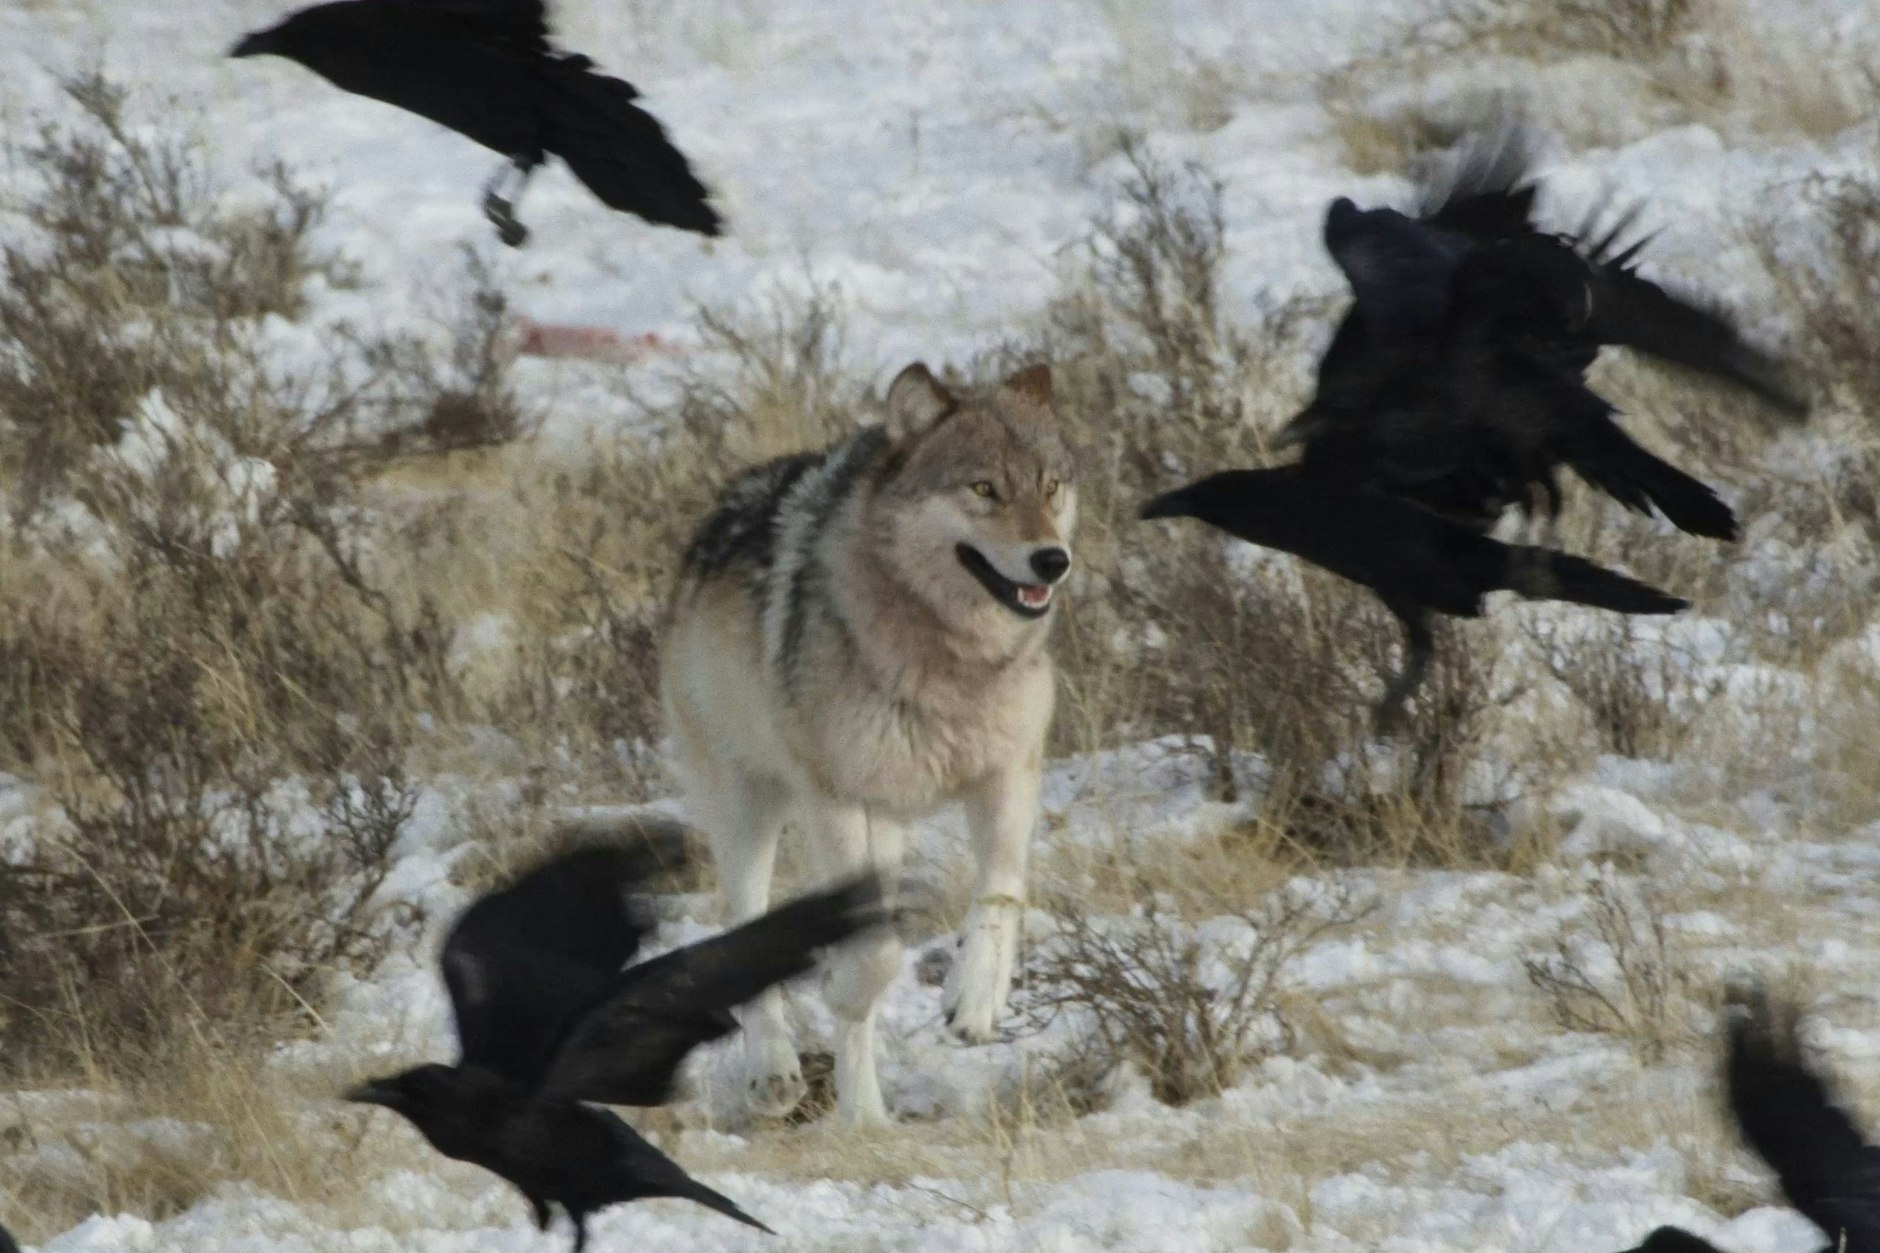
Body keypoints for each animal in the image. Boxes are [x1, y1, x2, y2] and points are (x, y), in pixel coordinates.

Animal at [660, 362, 1077, 1127]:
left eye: (1050, 485)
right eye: (984, 489)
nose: (1051, 560)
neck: (952, 660)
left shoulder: (1009, 773)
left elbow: (1002, 893)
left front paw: (973, 999)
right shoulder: (840, 802)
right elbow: (874, 959)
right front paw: (844, 990)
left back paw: (865, 1115)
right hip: (749, 808)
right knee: (745, 923)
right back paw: (779, 1075)